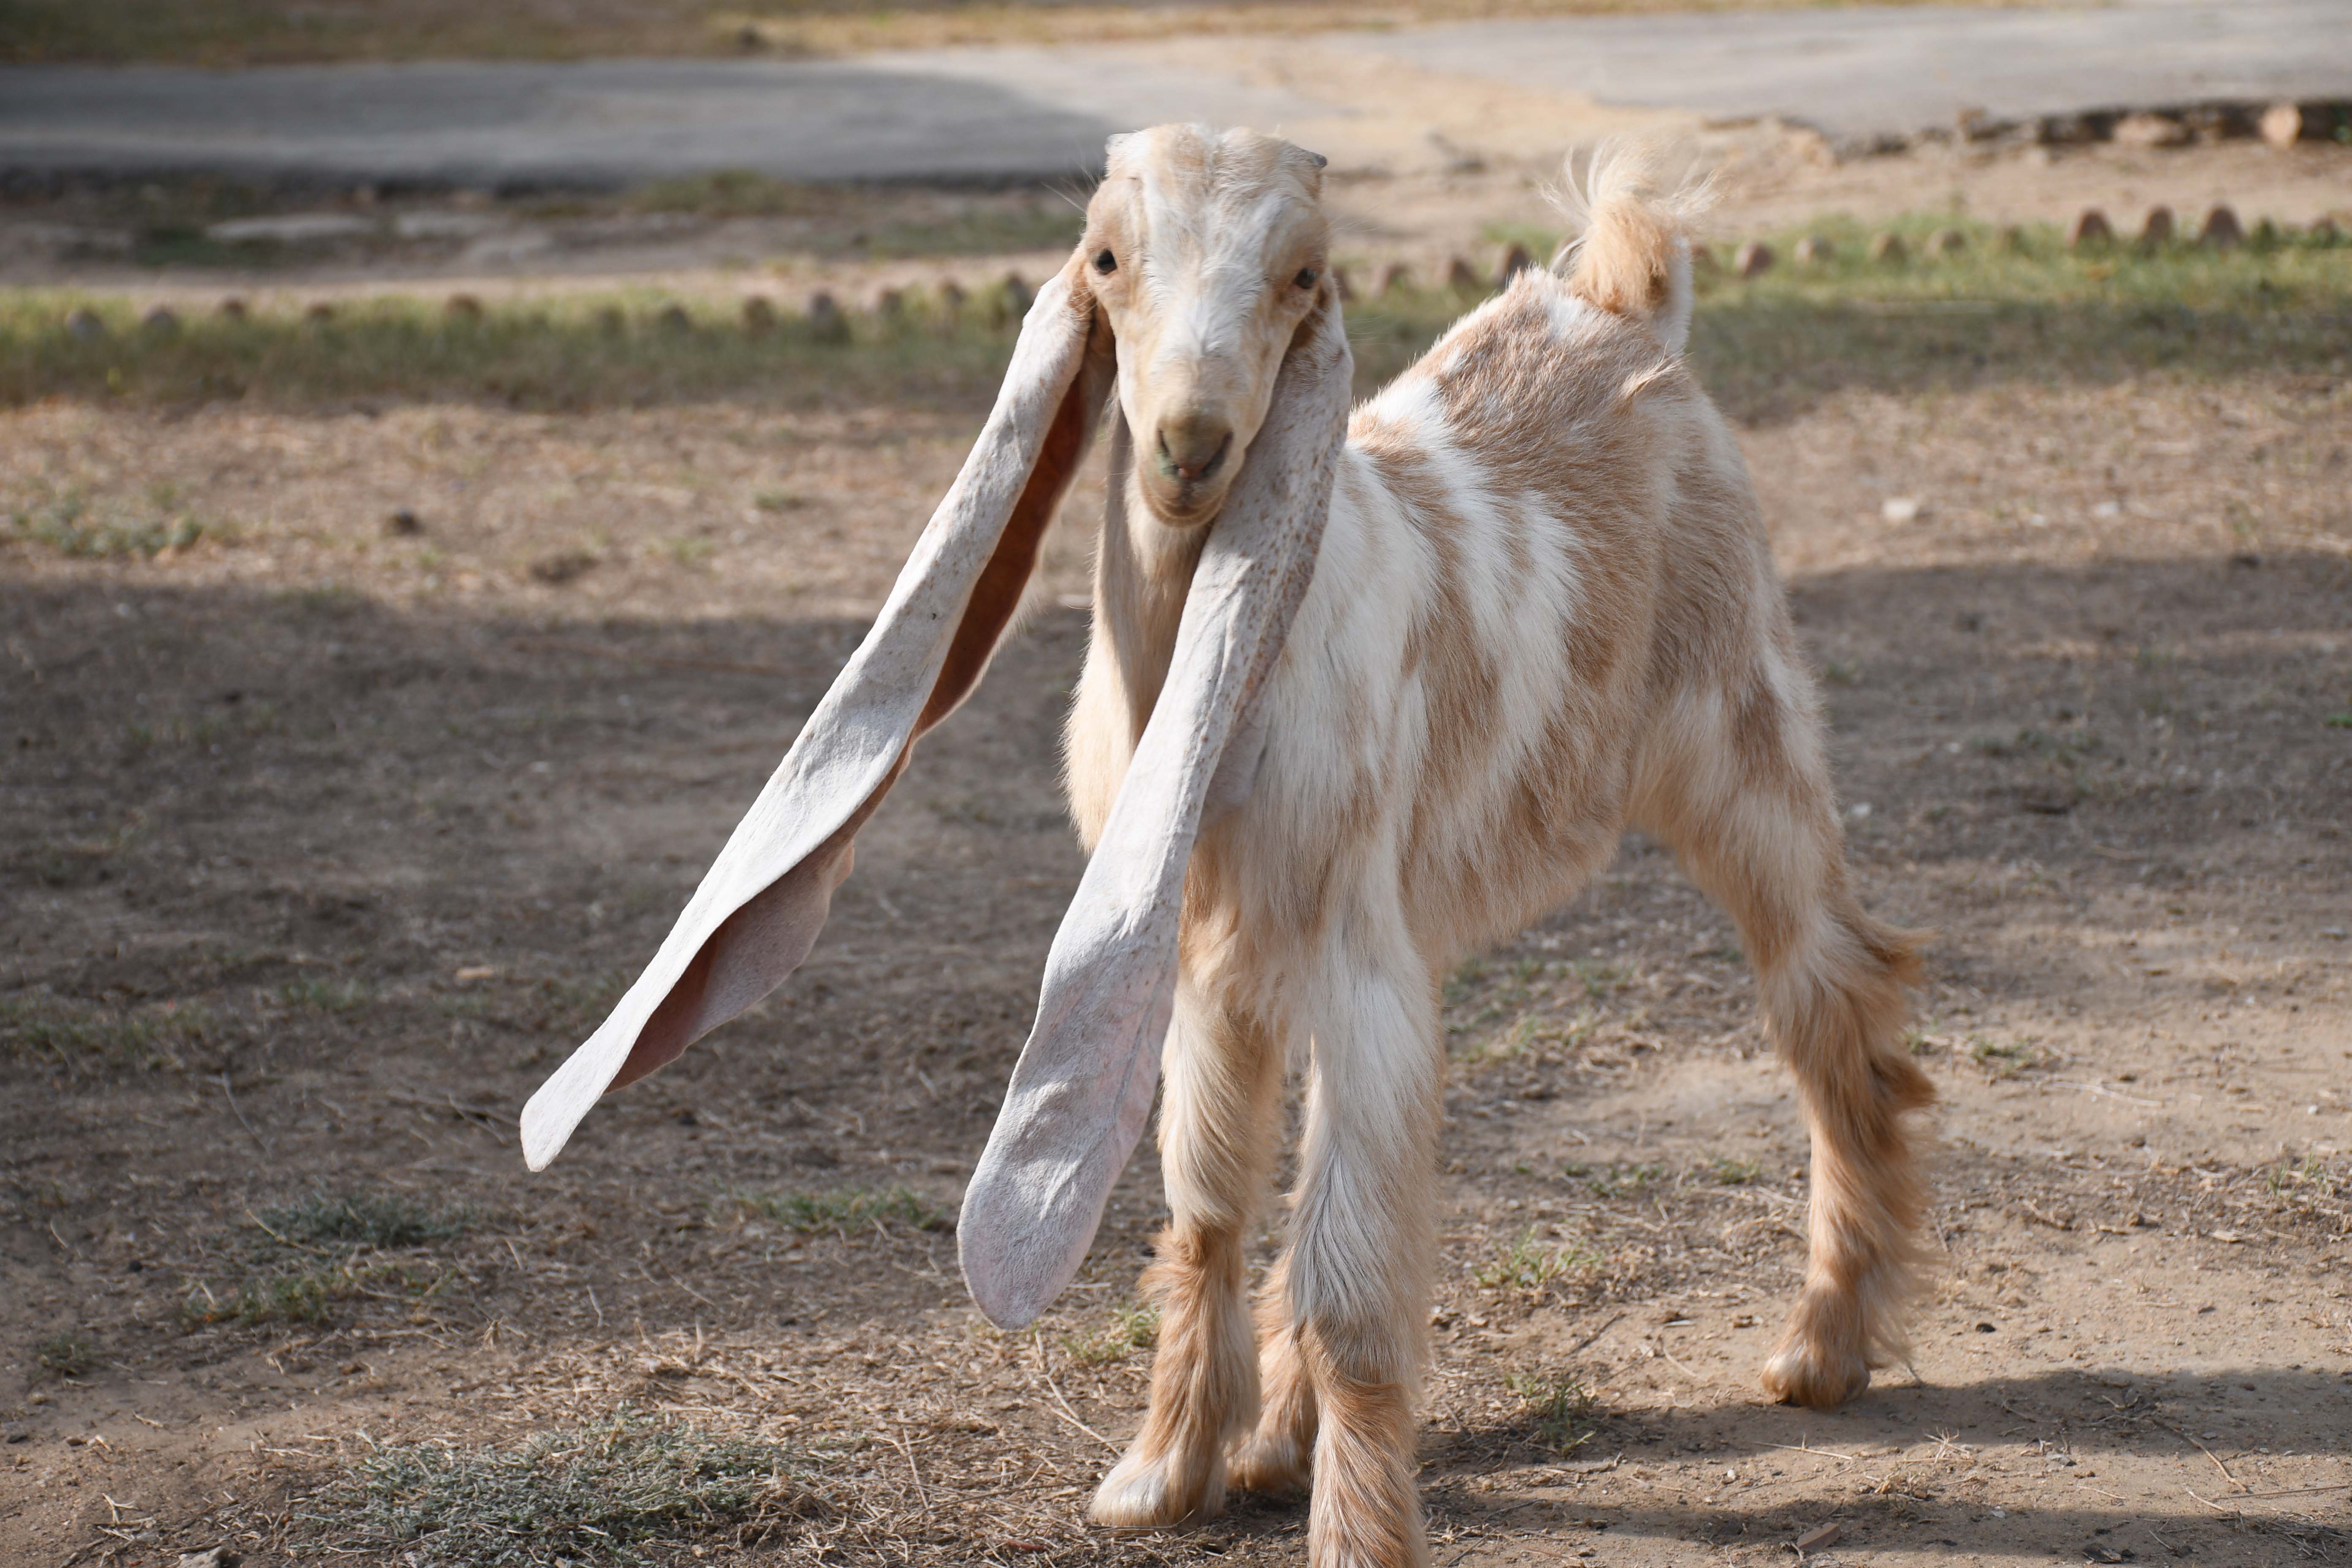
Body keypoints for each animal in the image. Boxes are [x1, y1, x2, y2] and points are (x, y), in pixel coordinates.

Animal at [524, 125, 1938, 1568]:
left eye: (1305, 274)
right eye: (1103, 256)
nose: (1190, 446)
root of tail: (1615, 303)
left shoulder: (1351, 949)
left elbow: (1354, 1274)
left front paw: (1354, 1533)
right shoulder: (1207, 950)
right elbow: (1208, 1200)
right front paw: (1163, 1469)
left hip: (1739, 740)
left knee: (1828, 996)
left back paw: (1821, 1347)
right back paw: (1275, 1438)